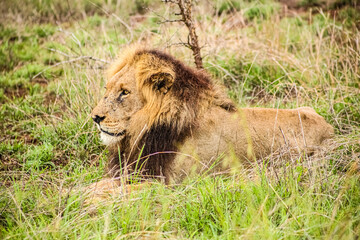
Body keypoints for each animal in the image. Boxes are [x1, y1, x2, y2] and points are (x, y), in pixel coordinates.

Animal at [91, 47, 334, 188]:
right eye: (107, 88)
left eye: (124, 92)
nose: (95, 117)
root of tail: (330, 128)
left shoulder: (168, 184)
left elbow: (103, 191)